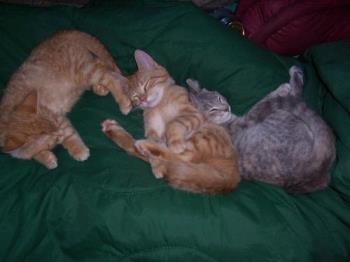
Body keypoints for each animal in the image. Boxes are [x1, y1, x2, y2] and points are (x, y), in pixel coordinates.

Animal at [0, 29, 131, 169]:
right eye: (54, 139)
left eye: (57, 133)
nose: (60, 134)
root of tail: (69, 32)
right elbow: (31, 154)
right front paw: (46, 158)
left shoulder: (60, 119)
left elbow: (70, 136)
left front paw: (78, 150)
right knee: (105, 70)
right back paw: (100, 88)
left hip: (86, 71)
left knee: (110, 76)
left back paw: (123, 102)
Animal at [101, 50, 241, 193]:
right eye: (135, 97)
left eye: (146, 85)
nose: (143, 100)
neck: (160, 104)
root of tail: (233, 176)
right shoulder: (152, 130)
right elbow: (156, 144)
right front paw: (157, 165)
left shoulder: (192, 113)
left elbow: (173, 124)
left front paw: (174, 144)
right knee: (140, 150)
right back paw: (113, 130)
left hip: (204, 136)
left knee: (183, 158)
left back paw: (143, 145)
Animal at [187, 66, 334, 193]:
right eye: (213, 110)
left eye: (219, 98)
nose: (226, 108)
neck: (221, 123)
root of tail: (313, 169)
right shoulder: (250, 118)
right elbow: (263, 101)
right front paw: (282, 88)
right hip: (282, 113)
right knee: (295, 98)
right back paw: (294, 77)